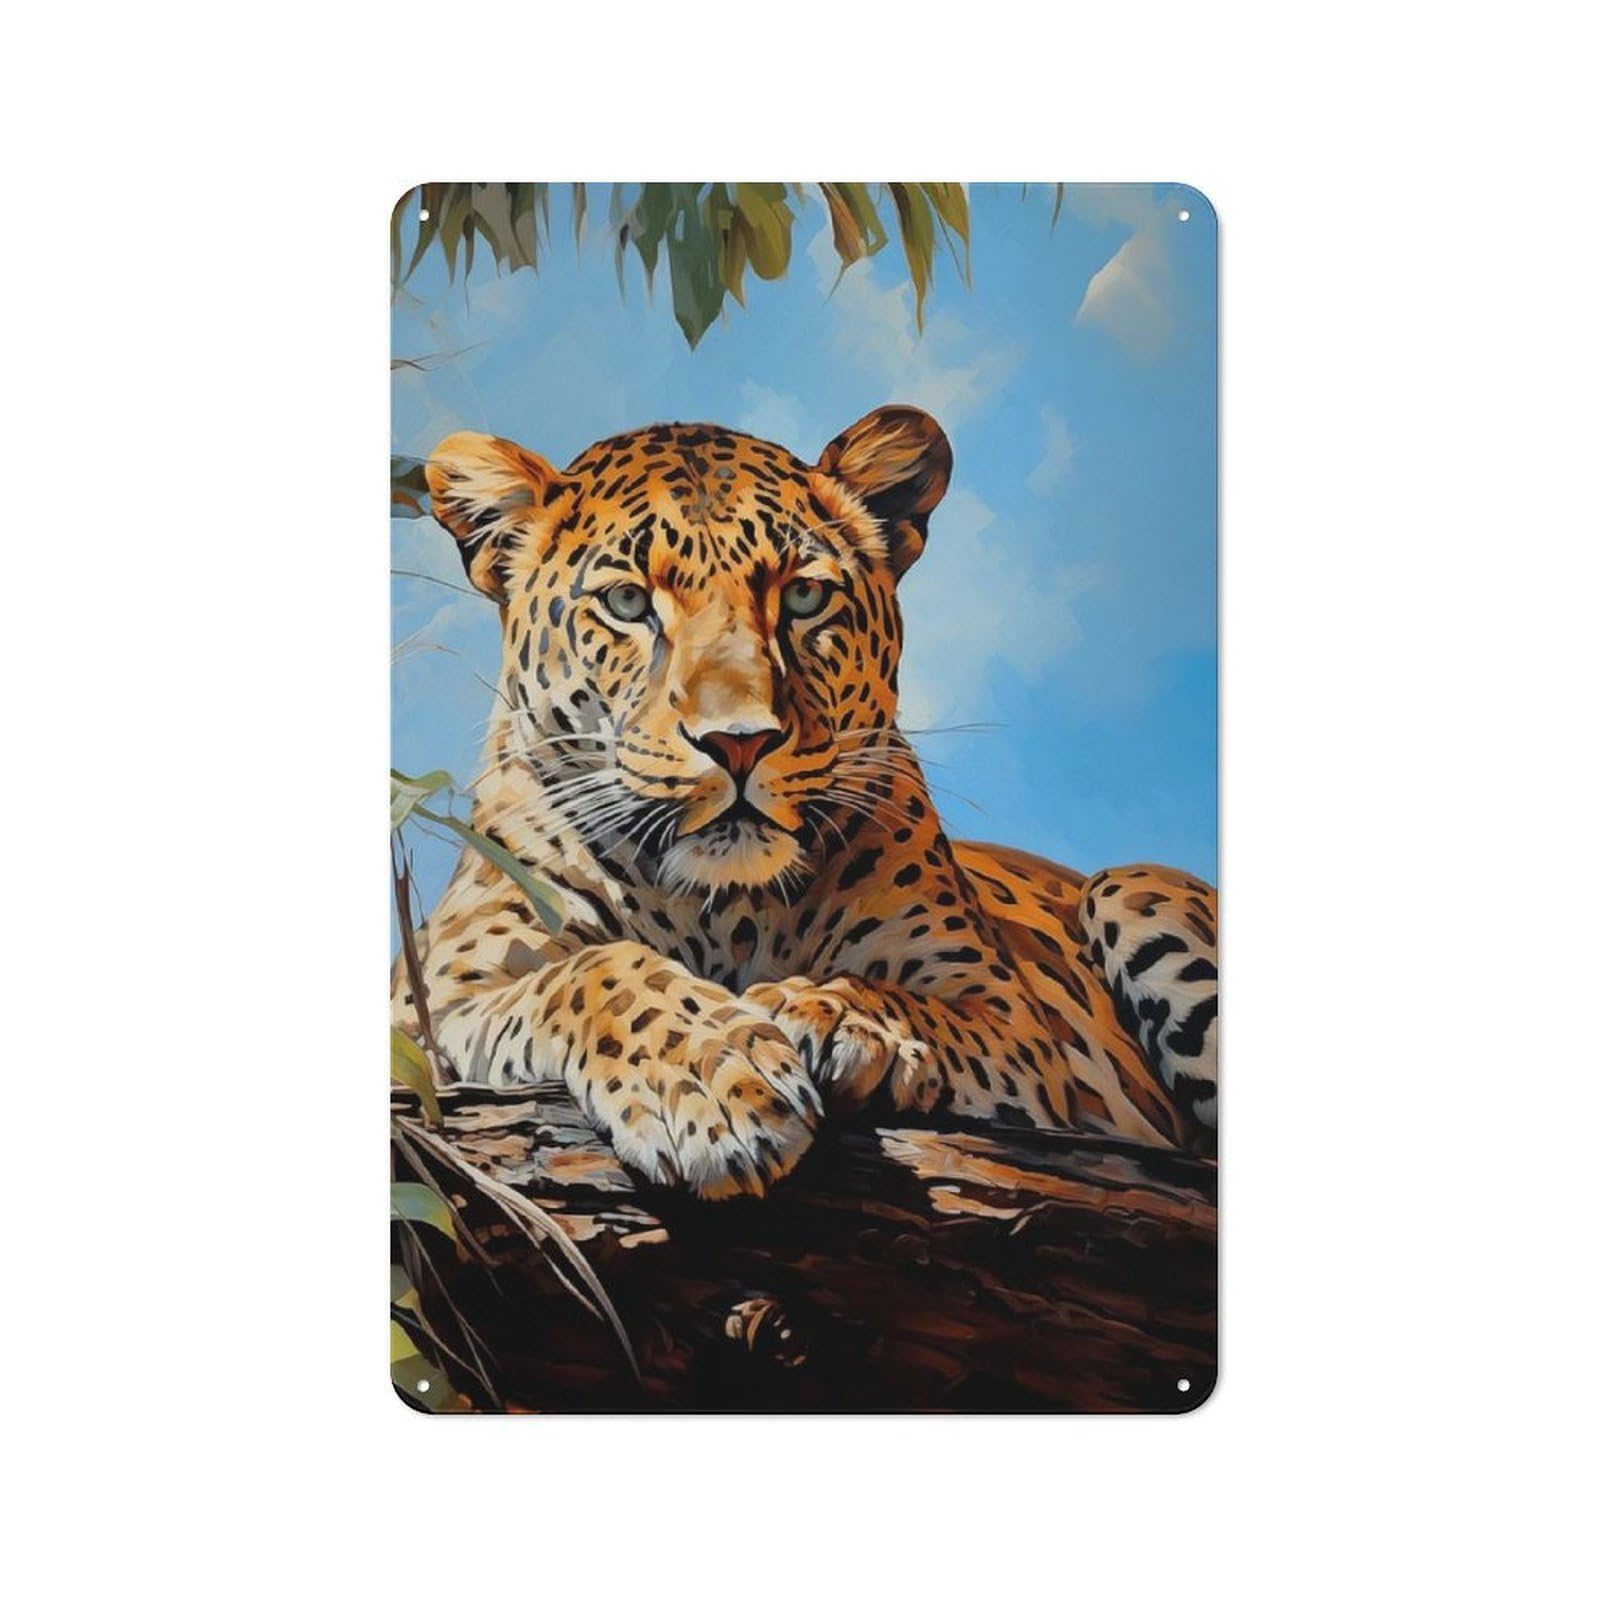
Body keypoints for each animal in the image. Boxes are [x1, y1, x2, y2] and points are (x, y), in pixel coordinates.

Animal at [393, 406, 1217, 1199]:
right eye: (627, 601)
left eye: (804, 594)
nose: (739, 742)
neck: (720, 911)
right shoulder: (434, 991)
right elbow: (595, 972)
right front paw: (712, 1078)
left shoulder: (1012, 1021)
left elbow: (904, 1000)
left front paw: (830, 1010)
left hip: (1130, 886)